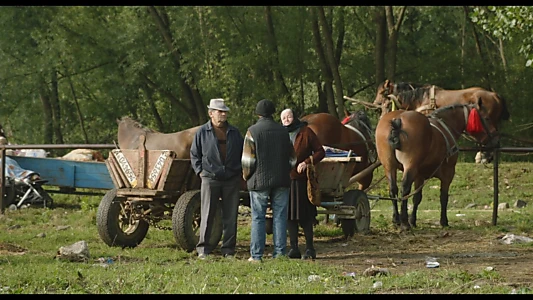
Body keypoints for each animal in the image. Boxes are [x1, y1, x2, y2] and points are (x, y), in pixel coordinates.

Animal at [374, 101, 498, 230]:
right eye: (487, 118)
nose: (496, 139)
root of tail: (398, 120)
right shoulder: (448, 173)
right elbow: (443, 197)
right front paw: (444, 221)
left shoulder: (419, 175)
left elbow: (417, 197)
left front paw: (413, 220)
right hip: (410, 166)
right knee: (405, 190)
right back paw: (404, 222)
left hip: (389, 166)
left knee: (393, 190)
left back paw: (397, 219)